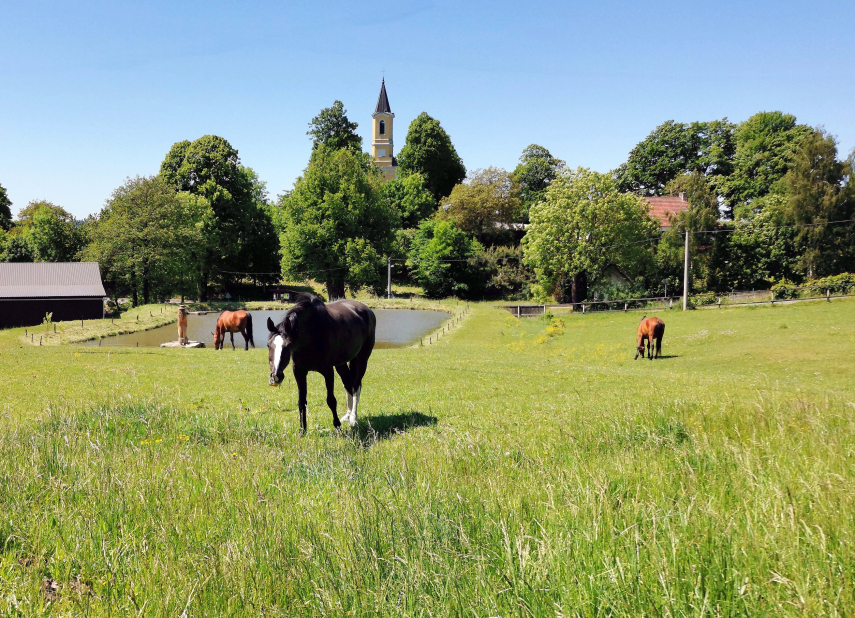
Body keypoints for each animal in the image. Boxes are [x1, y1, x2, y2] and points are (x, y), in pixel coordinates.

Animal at [268, 294, 374, 434]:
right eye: (268, 345)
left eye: (288, 346)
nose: (275, 377)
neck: (312, 333)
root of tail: (368, 310)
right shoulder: (299, 372)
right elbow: (302, 402)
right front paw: (302, 431)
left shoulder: (328, 371)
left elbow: (331, 400)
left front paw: (338, 427)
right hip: (341, 364)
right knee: (348, 384)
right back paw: (347, 415)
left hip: (362, 359)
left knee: (355, 387)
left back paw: (353, 419)